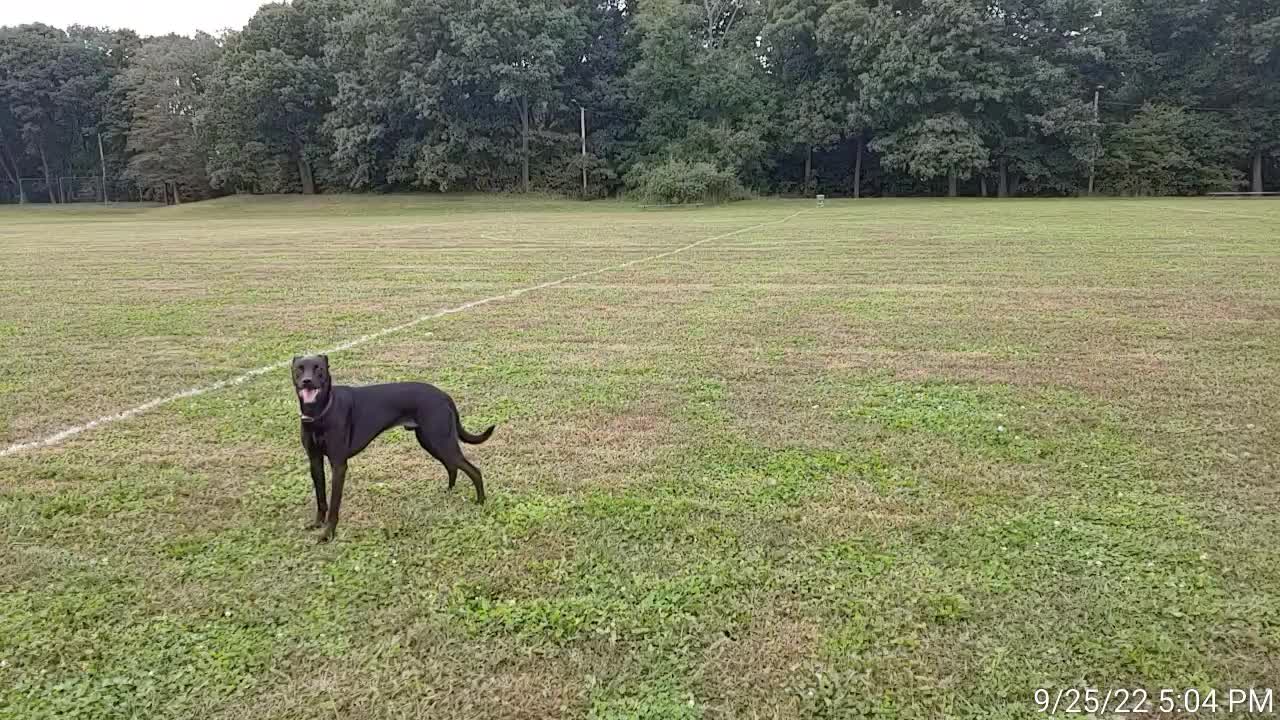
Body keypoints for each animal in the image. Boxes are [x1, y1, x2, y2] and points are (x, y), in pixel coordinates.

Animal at [291, 353, 494, 538]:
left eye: (318, 368)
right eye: (299, 368)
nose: (307, 381)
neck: (321, 412)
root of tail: (444, 395)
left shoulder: (339, 465)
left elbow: (334, 504)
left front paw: (328, 534)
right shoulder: (315, 461)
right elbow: (321, 499)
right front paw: (317, 524)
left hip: (440, 441)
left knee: (474, 470)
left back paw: (481, 502)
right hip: (431, 442)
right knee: (452, 467)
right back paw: (449, 492)